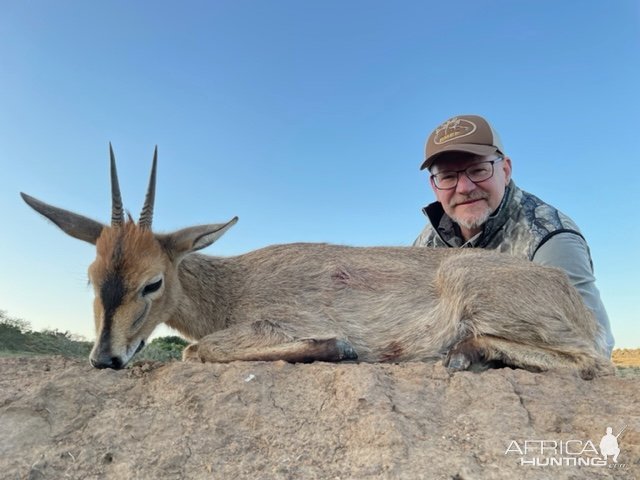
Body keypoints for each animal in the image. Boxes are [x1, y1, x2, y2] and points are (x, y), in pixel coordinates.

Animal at [21, 144, 616, 376]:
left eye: (152, 282)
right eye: (92, 277)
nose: (105, 358)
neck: (232, 285)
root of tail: (564, 290)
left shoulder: (271, 323)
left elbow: (196, 351)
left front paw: (340, 346)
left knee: (593, 362)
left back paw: (464, 353)